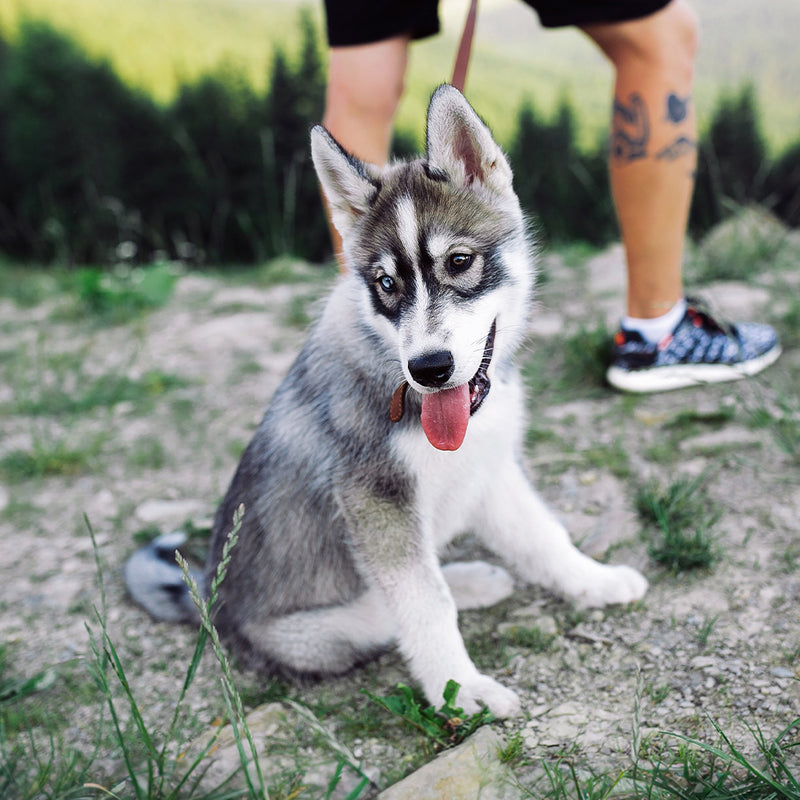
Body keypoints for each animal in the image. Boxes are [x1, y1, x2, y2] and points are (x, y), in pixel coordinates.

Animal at [126, 87, 648, 720]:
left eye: (459, 261)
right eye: (386, 284)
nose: (429, 369)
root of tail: (207, 597)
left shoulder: (490, 469)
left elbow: (542, 535)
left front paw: (594, 580)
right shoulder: (374, 498)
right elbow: (425, 600)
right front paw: (461, 690)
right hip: (313, 631)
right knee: (384, 610)